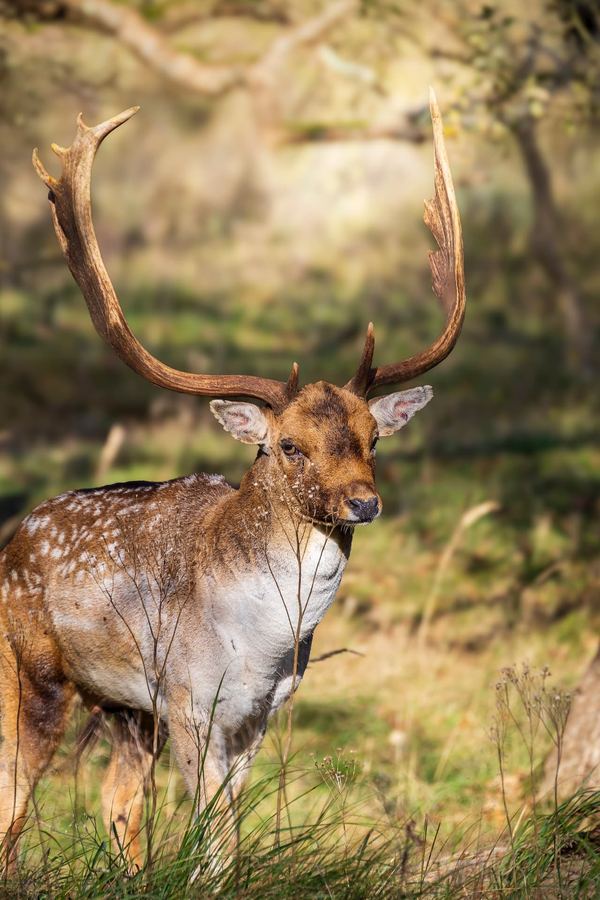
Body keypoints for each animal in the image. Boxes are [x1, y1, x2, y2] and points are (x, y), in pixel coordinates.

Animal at [0, 89, 464, 870]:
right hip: (32, 668)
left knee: (116, 800)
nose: (363, 502)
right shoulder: (191, 699)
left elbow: (229, 832)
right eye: (288, 445)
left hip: (127, 708)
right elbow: (211, 837)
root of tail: (10, 540)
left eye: (373, 438)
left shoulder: (257, 713)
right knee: (15, 797)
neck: (263, 645)